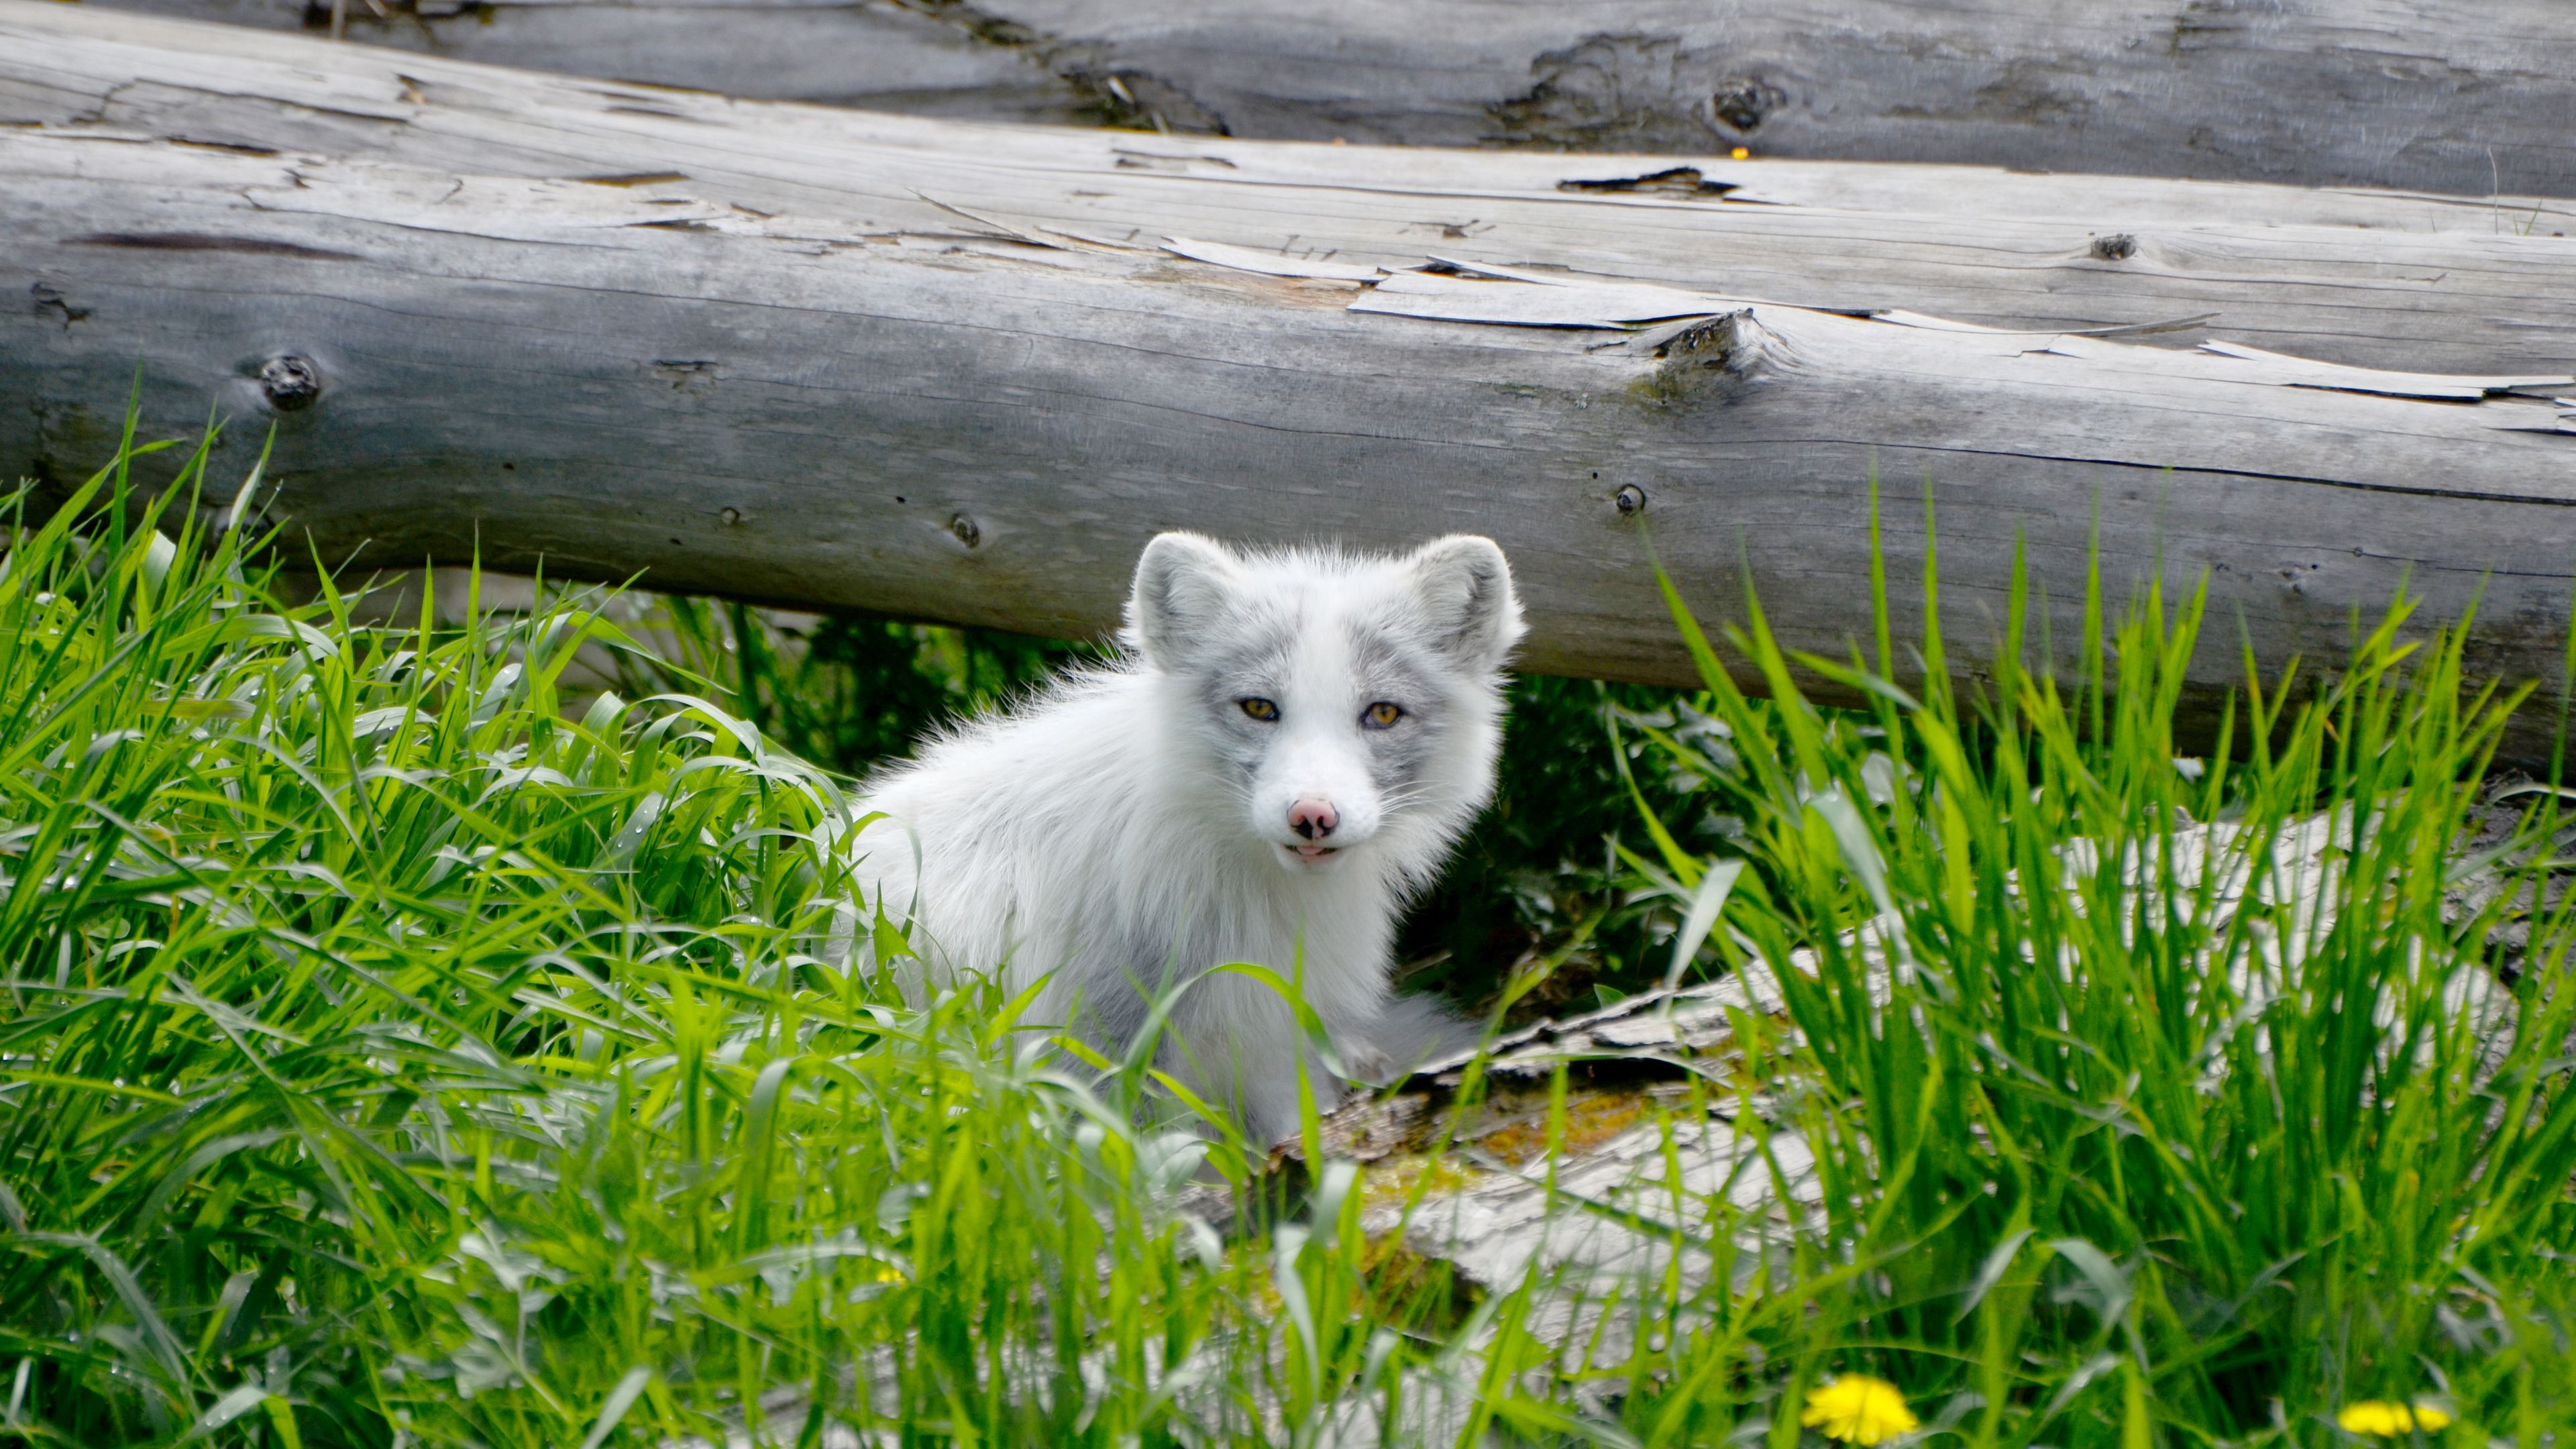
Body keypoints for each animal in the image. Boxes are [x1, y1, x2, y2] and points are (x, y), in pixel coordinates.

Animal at [845, 528, 1525, 1139]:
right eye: (1259, 708)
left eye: (1382, 714)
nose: (1312, 815)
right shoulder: (1102, 1042)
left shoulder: (1269, 1037)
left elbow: (1289, 1134)